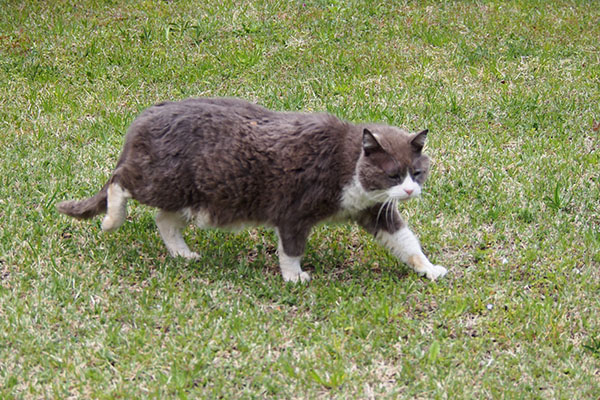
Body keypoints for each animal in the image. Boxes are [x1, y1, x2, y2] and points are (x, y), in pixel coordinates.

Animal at [57, 98, 450, 282]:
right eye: (393, 174)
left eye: (417, 172)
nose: (410, 192)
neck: (346, 163)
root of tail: (144, 116)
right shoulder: (295, 209)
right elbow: (291, 248)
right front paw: (294, 277)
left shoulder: (373, 209)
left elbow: (405, 241)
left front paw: (430, 269)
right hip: (161, 179)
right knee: (120, 182)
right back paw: (111, 221)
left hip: (193, 196)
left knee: (164, 221)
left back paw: (183, 254)